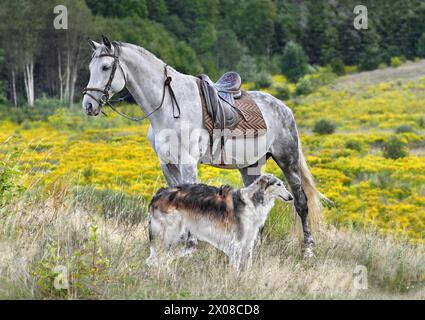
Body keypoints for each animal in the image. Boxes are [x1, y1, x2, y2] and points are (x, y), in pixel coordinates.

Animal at [81, 37, 322, 258]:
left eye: (105, 67)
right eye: (90, 68)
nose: (88, 106)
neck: (169, 106)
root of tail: (284, 107)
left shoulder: (187, 163)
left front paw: (190, 247)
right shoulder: (168, 164)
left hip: (288, 161)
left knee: (301, 202)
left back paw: (308, 250)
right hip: (250, 166)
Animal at [146, 174, 292, 272]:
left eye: (283, 184)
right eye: (278, 184)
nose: (291, 197)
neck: (252, 201)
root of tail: (159, 193)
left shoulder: (248, 241)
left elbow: (247, 264)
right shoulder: (237, 242)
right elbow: (236, 266)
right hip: (169, 233)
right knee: (155, 259)